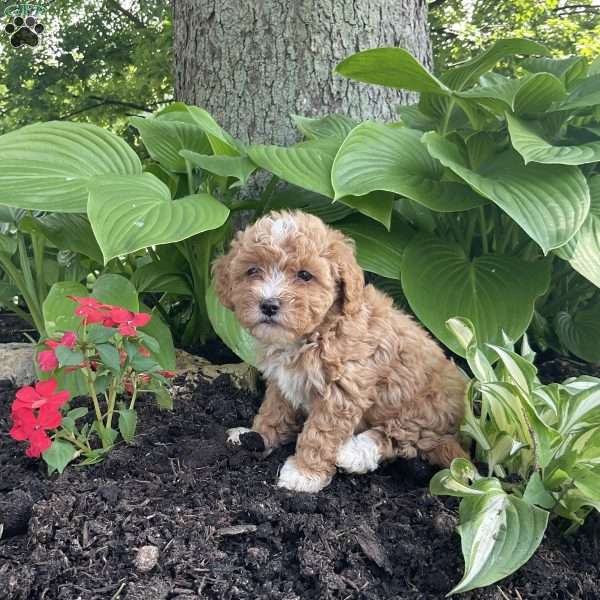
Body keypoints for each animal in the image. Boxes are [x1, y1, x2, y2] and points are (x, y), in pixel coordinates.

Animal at [213, 211, 466, 492]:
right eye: (253, 270)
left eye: (305, 275)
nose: (269, 305)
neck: (318, 332)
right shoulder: (282, 383)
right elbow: (273, 412)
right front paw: (254, 436)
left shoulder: (342, 392)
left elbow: (321, 433)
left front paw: (304, 473)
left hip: (422, 408)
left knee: (401, 439)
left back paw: (354, 453)